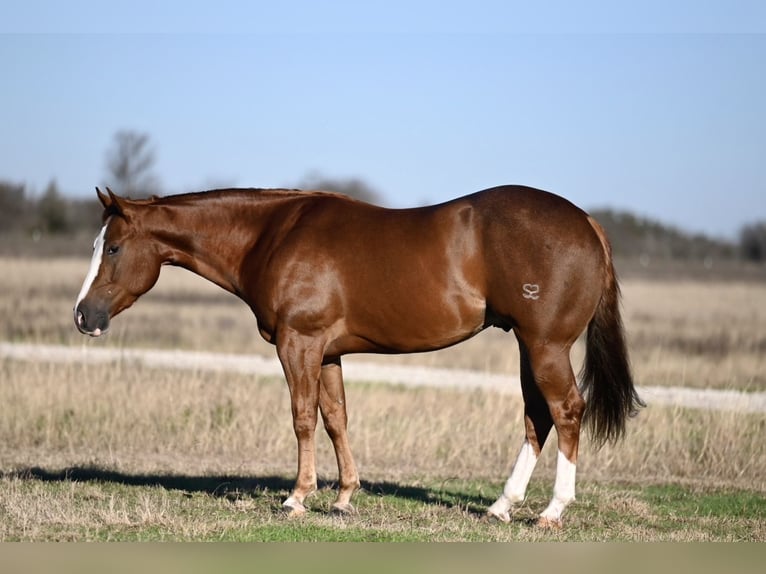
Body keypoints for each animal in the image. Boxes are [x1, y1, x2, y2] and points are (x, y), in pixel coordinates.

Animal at [75, 187, 644, 528]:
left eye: (113, 248)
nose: (84, 316)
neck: (272, 235)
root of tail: (587, 223)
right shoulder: (328, 353)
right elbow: (335, 419)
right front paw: (344, 497)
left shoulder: (298, 344)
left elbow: (303, 419)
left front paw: (297, 497)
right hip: (530, 347)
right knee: (537, 418)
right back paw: (501, 506)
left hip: (545, 347)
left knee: (566, 412)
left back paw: (552, 510)